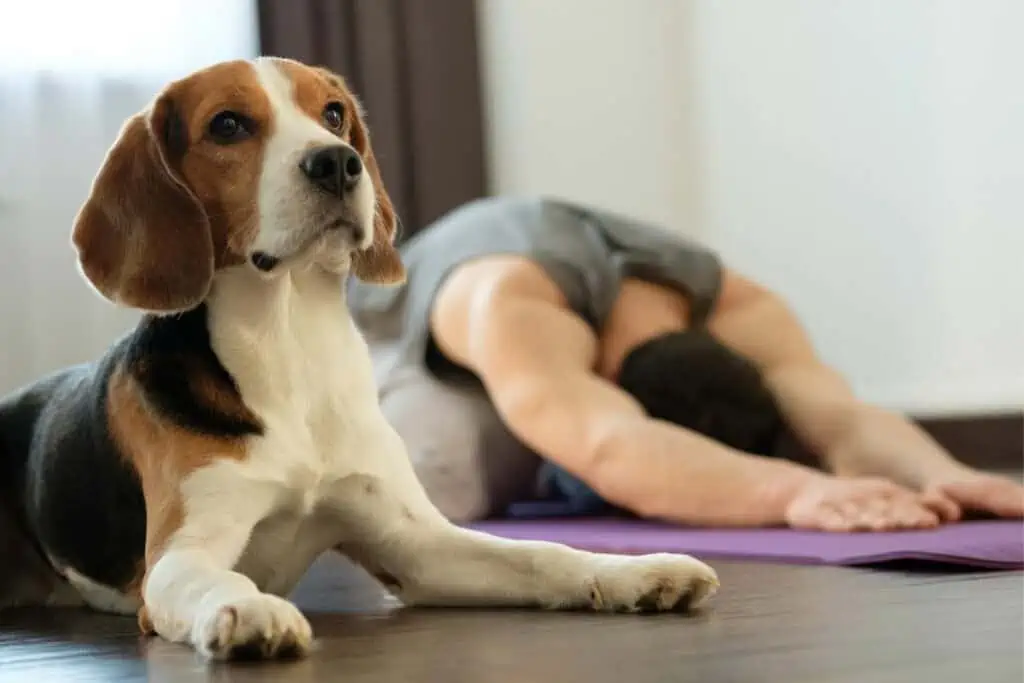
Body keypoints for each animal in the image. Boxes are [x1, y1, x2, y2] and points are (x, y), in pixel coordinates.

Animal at [0, 58, 720, 663]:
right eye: (227, 125)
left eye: (334, 113)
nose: (338, 163)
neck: (290, 343)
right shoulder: (179, 556)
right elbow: (217, 579)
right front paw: (249, 608)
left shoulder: (418, 544)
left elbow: (545, 554)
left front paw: (635, 571)